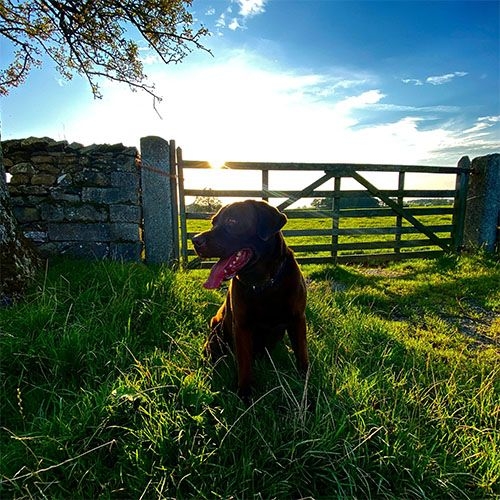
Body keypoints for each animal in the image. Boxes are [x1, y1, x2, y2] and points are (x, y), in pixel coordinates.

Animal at [191, 199, 308, 398]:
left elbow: (302, 355)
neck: (264, 285)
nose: (195, 240)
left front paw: (307, 386)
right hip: (215, 331)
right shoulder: (242, 326)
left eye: (232, 221)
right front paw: (245, 395)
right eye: (213, 222)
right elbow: (244, 364)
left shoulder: (298, 319)